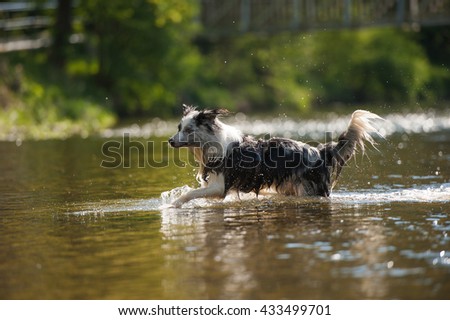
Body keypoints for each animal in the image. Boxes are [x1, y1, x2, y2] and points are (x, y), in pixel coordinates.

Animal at [167, 105, 382, 208]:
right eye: (178, 128)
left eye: (188, 130)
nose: (170, 140)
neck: (212, 142)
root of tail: (320, 152)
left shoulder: (219, 186)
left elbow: (189, 193)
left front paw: (173, 204)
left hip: (308, 190)